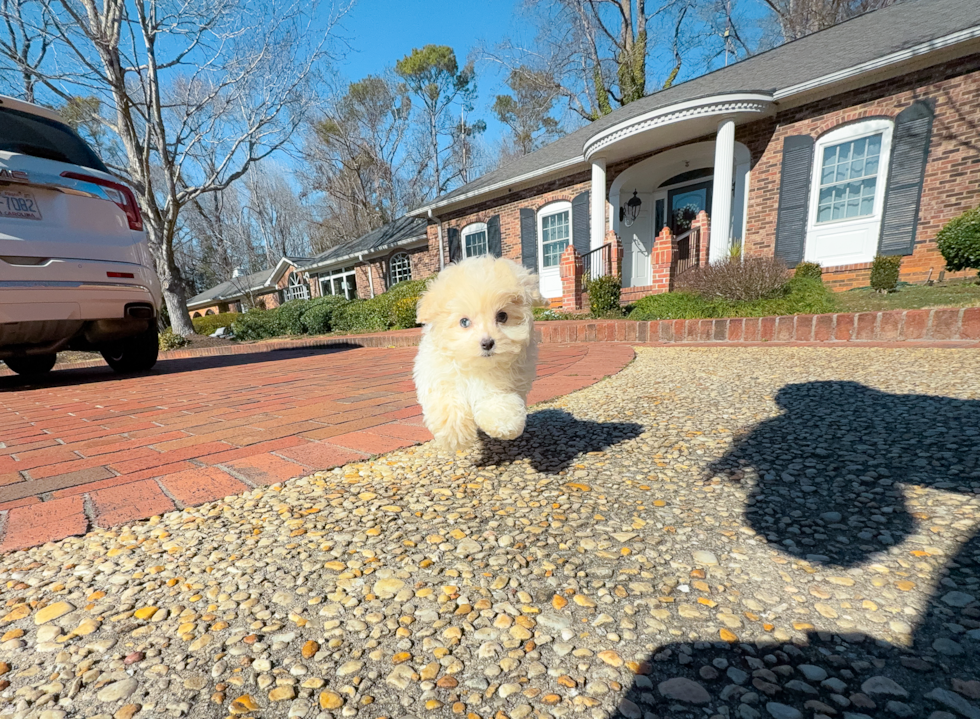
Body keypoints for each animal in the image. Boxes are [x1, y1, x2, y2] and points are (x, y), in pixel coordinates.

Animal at [416, 256, 544, 452]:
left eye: (502, 316)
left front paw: (505, 423)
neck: (475, 366)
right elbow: (447, 401)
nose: (487, 343)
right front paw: (456, 435)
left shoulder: (502, 384)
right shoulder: (439, 376)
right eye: (464, 322)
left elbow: (497, 401)